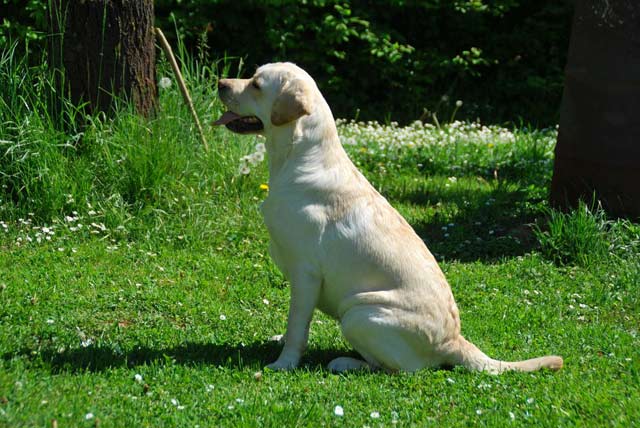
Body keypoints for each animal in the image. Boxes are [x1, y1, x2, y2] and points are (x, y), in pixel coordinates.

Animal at [214, 62, 563, 373]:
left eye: (257, 84)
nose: (220, 83)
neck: (299, 158)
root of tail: (453, 341)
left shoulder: (305, 272)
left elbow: (297, 326)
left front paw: (283, 363)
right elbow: (294, 324)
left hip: (358, 312)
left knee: (397, 368)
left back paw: (346, 363)